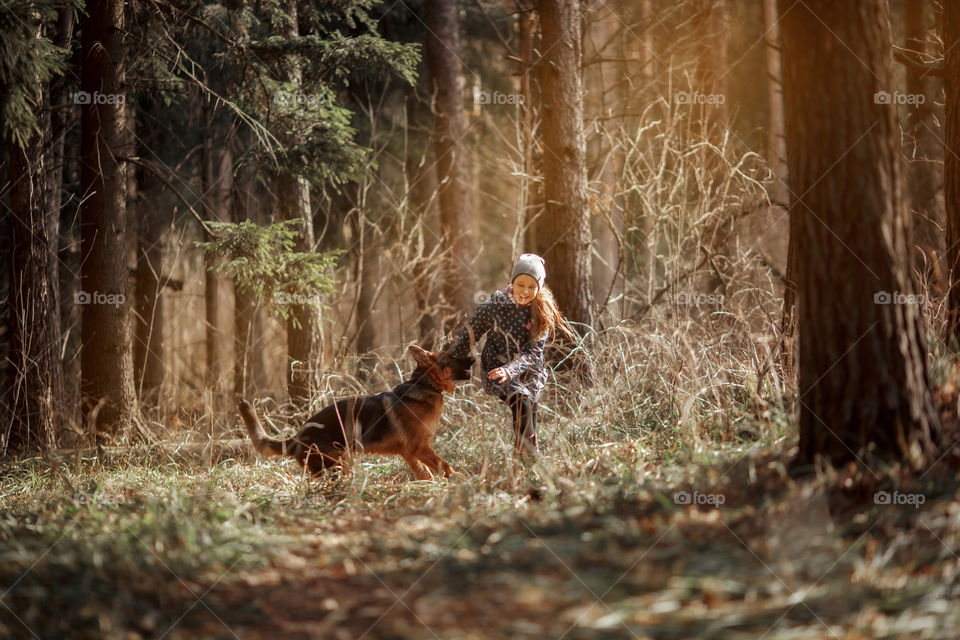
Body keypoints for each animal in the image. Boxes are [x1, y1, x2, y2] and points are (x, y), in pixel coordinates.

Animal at [236, 348, 468, 478]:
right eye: (451, 356)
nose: (472, 359)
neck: (424, 384)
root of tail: (297, 437)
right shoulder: (419, 447)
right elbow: (443, 464)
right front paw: (458, 478)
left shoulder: (409, 452)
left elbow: (424, 472)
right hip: (339, 461)